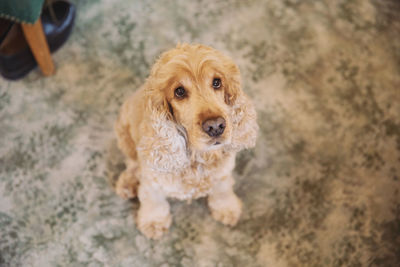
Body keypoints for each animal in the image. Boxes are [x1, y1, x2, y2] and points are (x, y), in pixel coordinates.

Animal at [114, 44, 258, 241]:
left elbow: (223, 189)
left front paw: (227, 208)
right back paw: (128, 184)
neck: (196, 158)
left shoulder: (224, 172)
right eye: (179, 92)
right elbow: (153, 200)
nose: (216, 126)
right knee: (131, 163)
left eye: (217, 82)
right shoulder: (152, 180)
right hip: (124, 134)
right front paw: (153, 222)